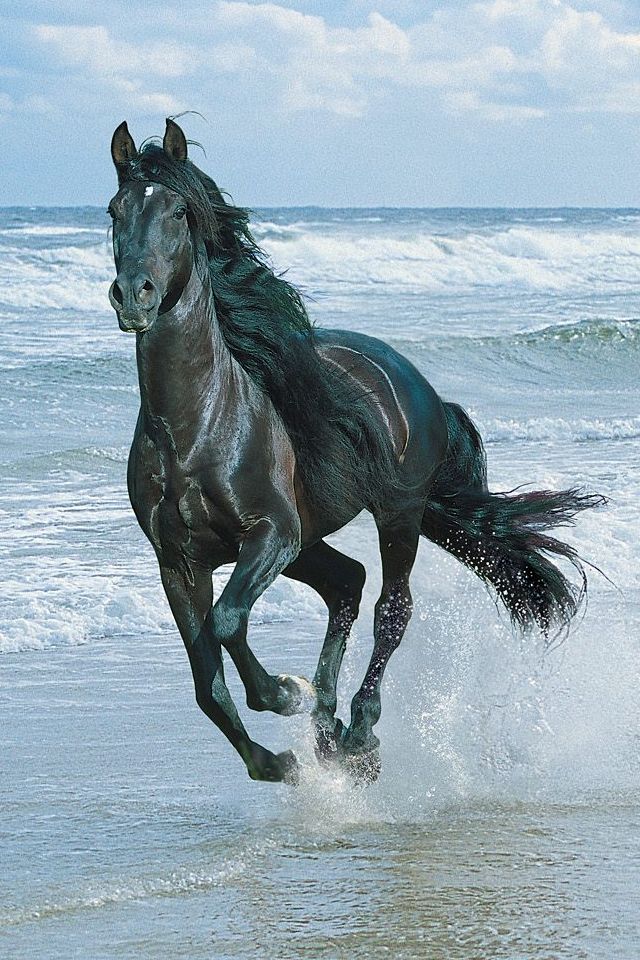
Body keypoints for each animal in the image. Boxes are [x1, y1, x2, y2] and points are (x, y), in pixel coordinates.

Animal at [107, 118, 600, 784]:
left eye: (179, 211)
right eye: (114, 210)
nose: (134, 295)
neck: (197, 428)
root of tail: (415, 381)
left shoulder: (271, 534)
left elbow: (229, 622)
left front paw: (285, 693)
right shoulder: (179, 561)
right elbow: (207, 683)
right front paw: (279, 759)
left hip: (395, 516)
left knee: (392, 608)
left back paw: (358, 731)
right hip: (311, 541)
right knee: (347, 583)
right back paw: (328, 728)